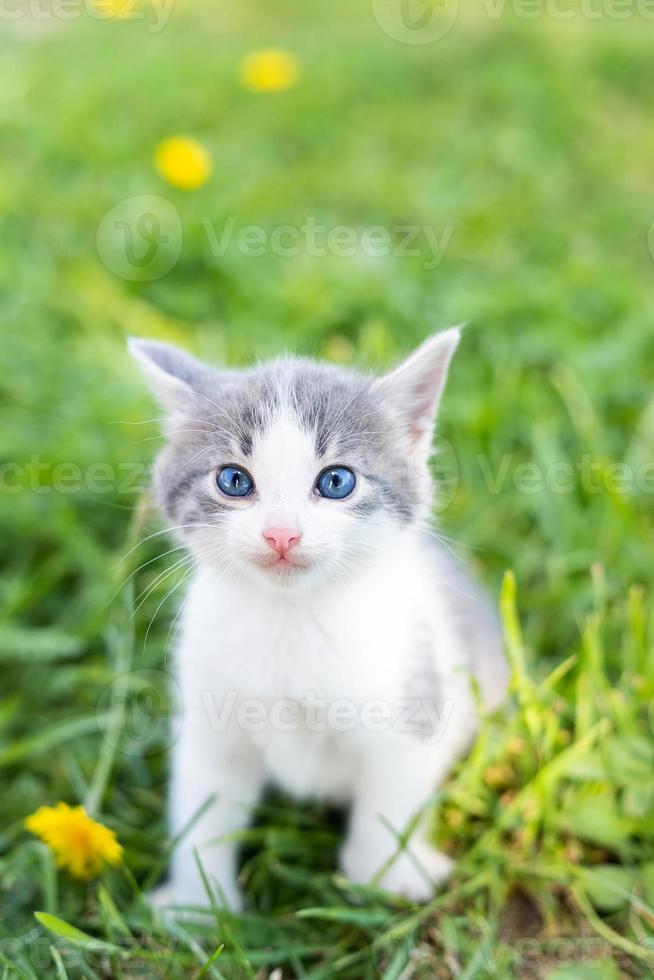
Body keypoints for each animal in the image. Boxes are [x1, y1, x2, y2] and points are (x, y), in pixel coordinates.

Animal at [128, 332, 508, 912]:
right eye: (234, 480)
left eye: (335, 481)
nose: (281, 534)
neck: (292, 618)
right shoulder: (210, 723)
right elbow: (203, 807)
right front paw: (199, 903)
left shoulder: (412, 703)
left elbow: (389, 799)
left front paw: (384, 875)